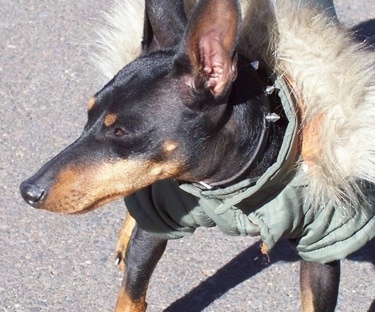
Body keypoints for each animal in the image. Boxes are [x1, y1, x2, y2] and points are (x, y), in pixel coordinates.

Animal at [19, 0, 375, 312]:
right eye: (88, 115)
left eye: (121, 131)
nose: (27, 190)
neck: (225, 184)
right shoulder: (155, 224)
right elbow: (131, 296)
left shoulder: (323, 247)